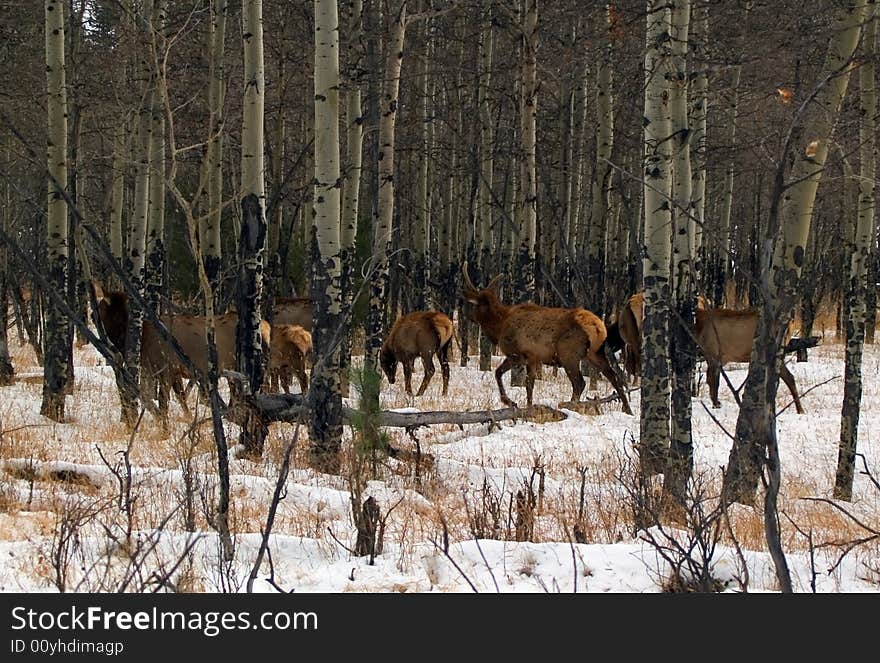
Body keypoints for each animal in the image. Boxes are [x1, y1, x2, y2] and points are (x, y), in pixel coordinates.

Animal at [460, 262, 632, 412]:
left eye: (474, 305)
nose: (469, 316)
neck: (499, 327)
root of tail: (598, 328)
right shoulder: (532, 357)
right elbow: (527, 382)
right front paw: (524, 405)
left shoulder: (519, 354)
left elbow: (502, 374)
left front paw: (510, 402)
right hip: (595, 353)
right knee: (614, 377)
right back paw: (627, 409)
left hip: (568, 354)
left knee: (580, 382)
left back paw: (570, 405)